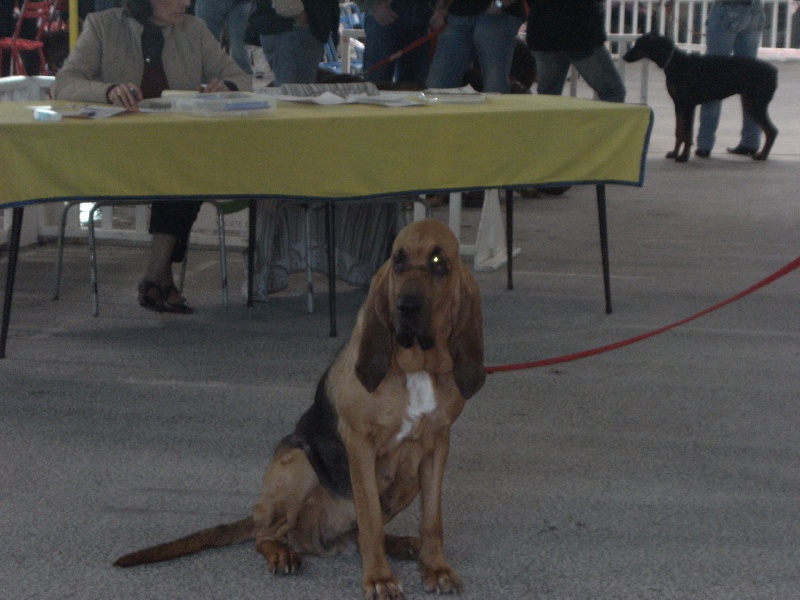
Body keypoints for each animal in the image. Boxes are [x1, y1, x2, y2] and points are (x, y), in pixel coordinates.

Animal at [113, 218, 484, 596]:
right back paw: (281, 553)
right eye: (398, 261)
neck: (416, 367)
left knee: (357, 533)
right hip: (299, 464)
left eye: (439, 263)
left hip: (405, 482)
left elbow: (432, 520)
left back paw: (401, 544)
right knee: (267, 534)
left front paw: (435, 568)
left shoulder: (437, 446)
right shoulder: (359, 444)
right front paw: (379, 578)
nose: (405, 307)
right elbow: (369, 519)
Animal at [620, 30, 780, 162]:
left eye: (640, 44)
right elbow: (679, 132)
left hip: (755, 104)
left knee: (772, 131)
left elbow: (687, 134)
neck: (675, 62)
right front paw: (674, 153)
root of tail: (774, 70)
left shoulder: (688, 105)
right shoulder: (678, 104)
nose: (624, 57)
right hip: (749, 103)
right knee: (770, 130)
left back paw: (762, 156)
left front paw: (683, 157)